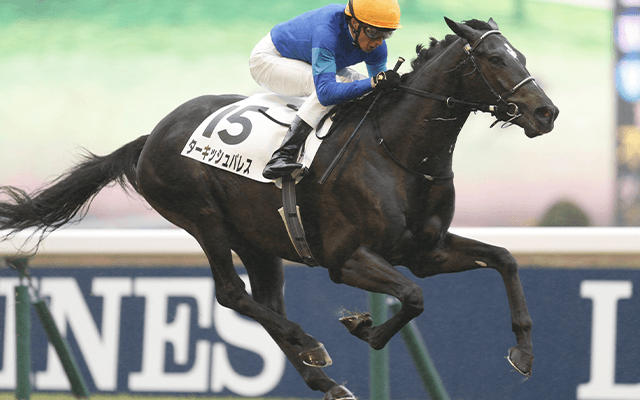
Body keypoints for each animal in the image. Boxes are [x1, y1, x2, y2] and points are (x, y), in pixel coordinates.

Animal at [0, 17, 558, 399]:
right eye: (493, 59)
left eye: (523, 56)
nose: (545, 112)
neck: (397, 150)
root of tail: (151, 136)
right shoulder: (346, 259)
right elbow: (413, 298)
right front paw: (362, 327)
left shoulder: (426, 251)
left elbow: (504, 259)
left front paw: (524, 352)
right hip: (202, 218)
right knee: (232, 294)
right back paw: (309, 343)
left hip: (258, 240)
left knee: (266, 302)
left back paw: (322, 377)